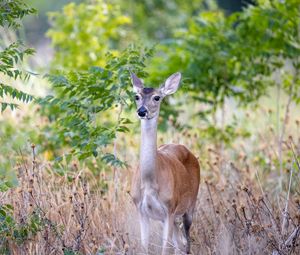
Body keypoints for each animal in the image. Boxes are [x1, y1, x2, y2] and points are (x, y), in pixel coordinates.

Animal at [130, 72, 200, 255]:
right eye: (137, 96)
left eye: (157, 97)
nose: (142, 111)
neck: (149, 182)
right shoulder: (141, 209)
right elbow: (144, 247)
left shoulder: (169, 207)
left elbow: (165, 248)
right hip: (172, 218)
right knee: (179, 242)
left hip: (190, 205)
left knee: (186, 241)